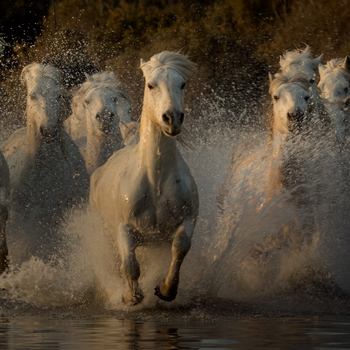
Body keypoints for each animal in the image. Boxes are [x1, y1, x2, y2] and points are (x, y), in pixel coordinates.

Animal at [89, 50, 200, 304]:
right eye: (151, 85)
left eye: (182, 84)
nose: (172, 118)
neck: (155, 182)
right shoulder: (123, 228)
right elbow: (130, 265)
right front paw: (131, 296)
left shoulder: (188, 219)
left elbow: (181, 247)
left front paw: (165, 290)